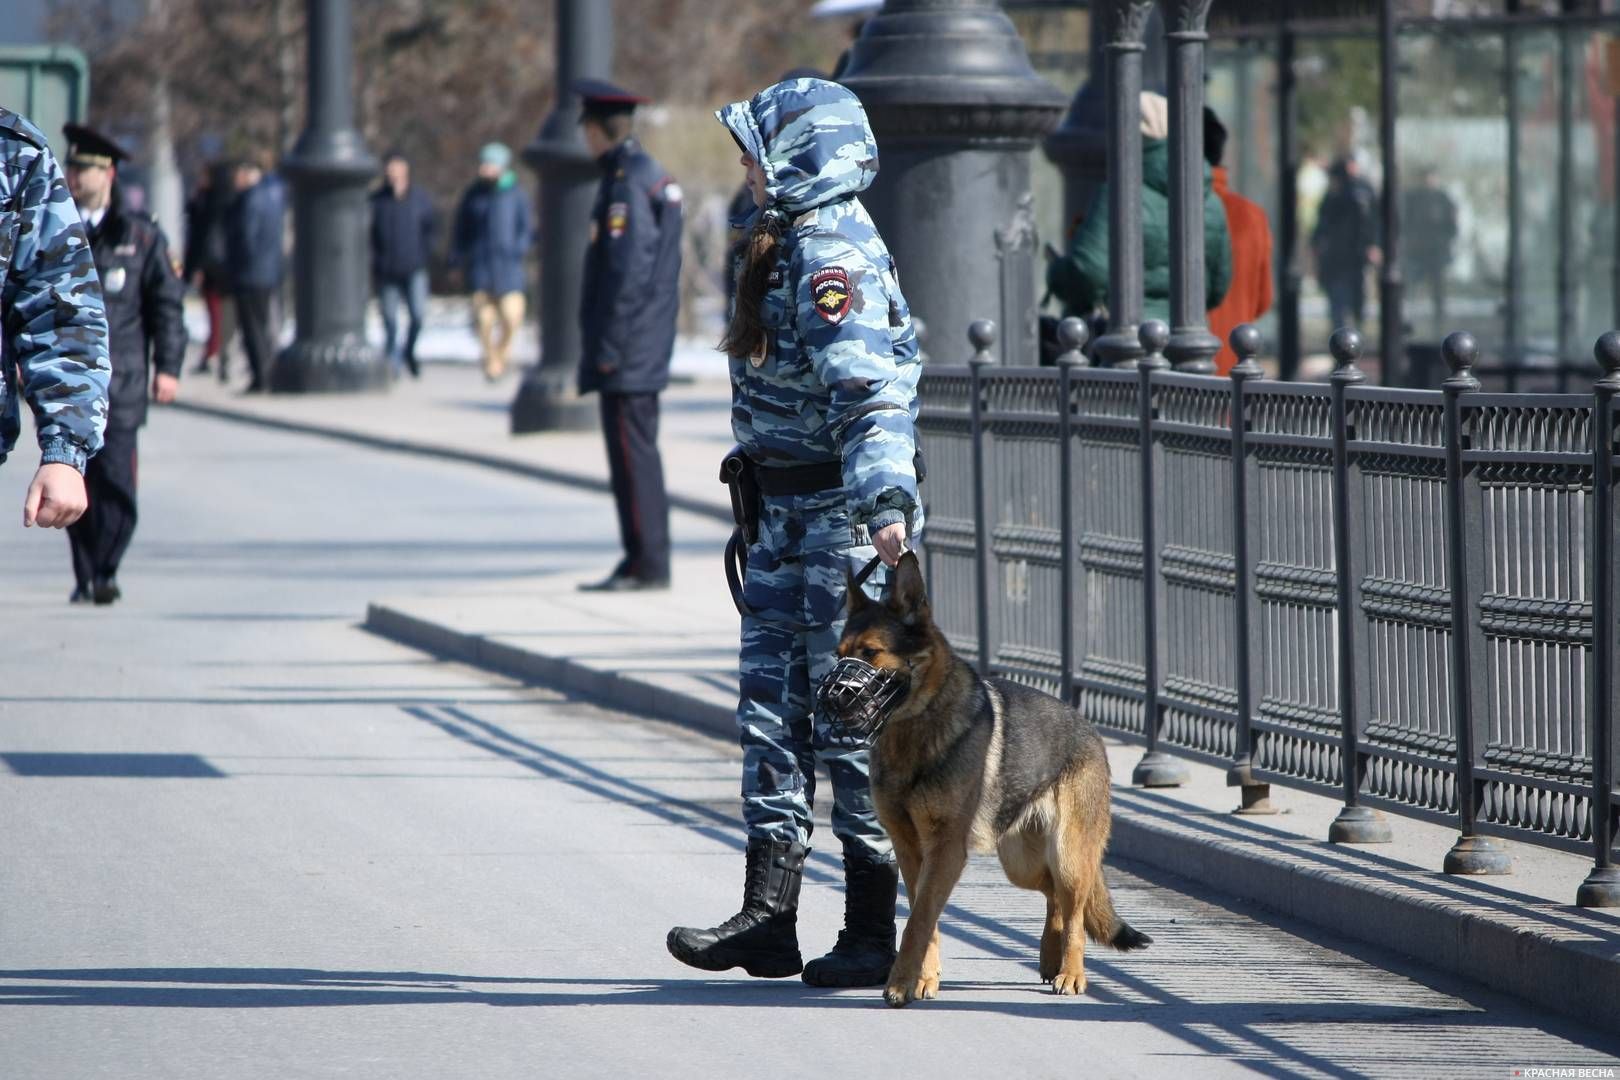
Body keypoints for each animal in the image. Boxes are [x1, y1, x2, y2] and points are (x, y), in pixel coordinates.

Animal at [835, 553, 1153, 1010]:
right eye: (838, 654)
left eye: (871, 653)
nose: (835, 696)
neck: (913, 729)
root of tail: (1087, 727)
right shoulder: (912, 850)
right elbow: (923, 916)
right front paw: (923, 979)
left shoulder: (945, 850)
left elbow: (918, 920)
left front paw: (900, 984)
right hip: (1021, 863)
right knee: (1054, 895)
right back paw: (1050, 957)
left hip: (1068, 855)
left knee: (1074, 911)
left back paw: (1071, 973)